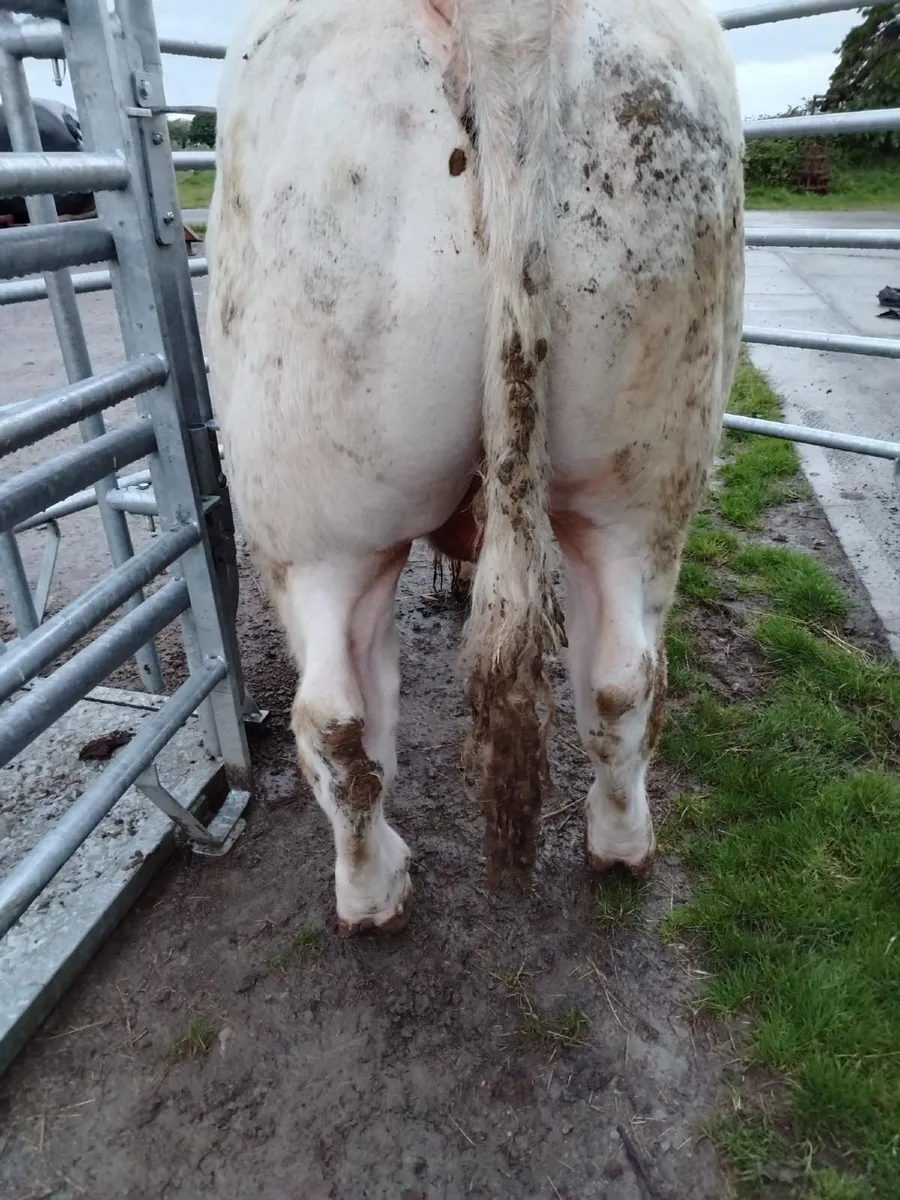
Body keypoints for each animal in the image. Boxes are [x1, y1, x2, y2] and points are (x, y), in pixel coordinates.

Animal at [206, 0, 744, 933]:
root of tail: (509, 20)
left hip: (307, 522)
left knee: (334, 718)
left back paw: (373, 893)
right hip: (639, 481)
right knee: (620, 679)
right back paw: (620, 848)